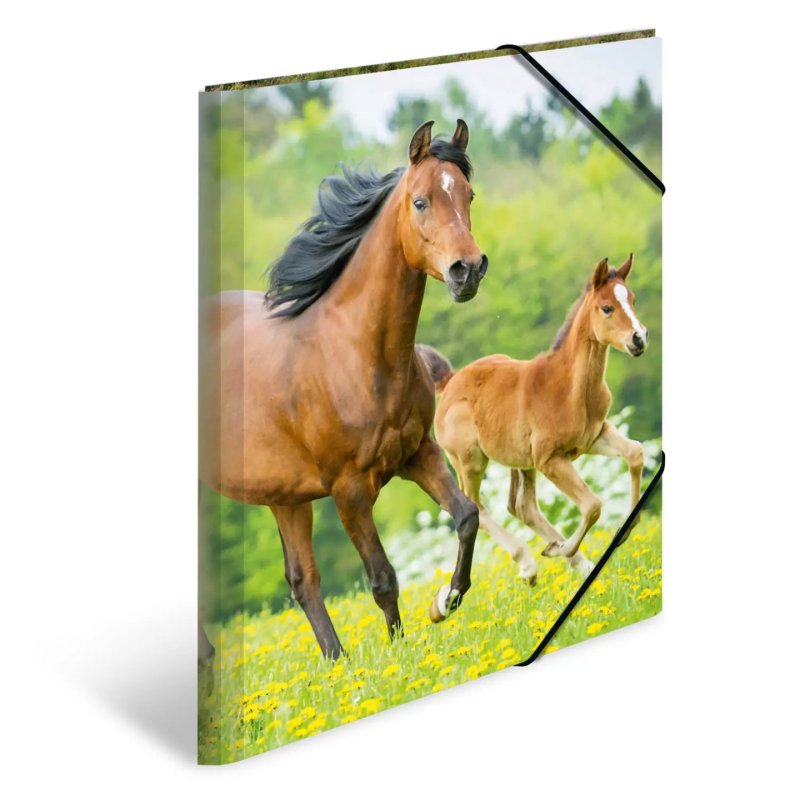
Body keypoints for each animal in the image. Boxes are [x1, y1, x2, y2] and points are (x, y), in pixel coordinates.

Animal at [199, 120, 489, 661]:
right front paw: (399, 655)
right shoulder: (348, 490)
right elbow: (383, 578)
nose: (468, 270)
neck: (358, 354)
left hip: (284, 497)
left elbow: (466, 516)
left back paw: (338, 664)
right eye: (421, 201)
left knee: (302, 580)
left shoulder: (418, 453)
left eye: (468, 194)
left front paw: (445, 601)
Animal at [425, 254, 648, 585]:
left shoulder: (594, 436)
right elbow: (593, 505)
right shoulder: (549, 459)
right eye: (607, 307)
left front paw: (624, 529)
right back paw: (530, 563)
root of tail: (450, 381)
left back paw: (577, 562)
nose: (639, 338)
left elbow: (635, 453)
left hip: (520, 460)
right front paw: (562, 548)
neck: (569, 388)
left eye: (631, 299)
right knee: (475, 506)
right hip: (470, 461)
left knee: (521, 506)